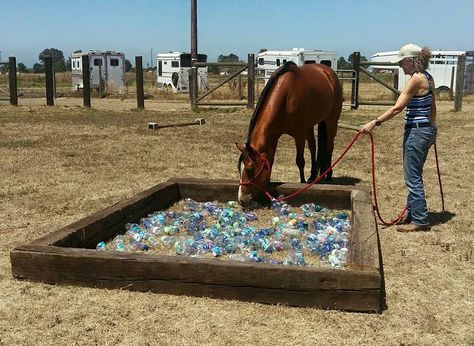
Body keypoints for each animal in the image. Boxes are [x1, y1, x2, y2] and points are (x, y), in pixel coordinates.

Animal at [236, 61, 340, 205]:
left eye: (250, 169)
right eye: (238, 169)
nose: (242, 200)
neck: (286, 97)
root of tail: (328, 72)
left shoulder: (299, 135)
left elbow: (300, 161)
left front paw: (301, 183)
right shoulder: (274, 135)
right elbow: (271, 159)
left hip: (331, 120)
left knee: (329, 146)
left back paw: (328, 176)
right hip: (310, 124)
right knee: (313, 147)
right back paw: (313, 176)